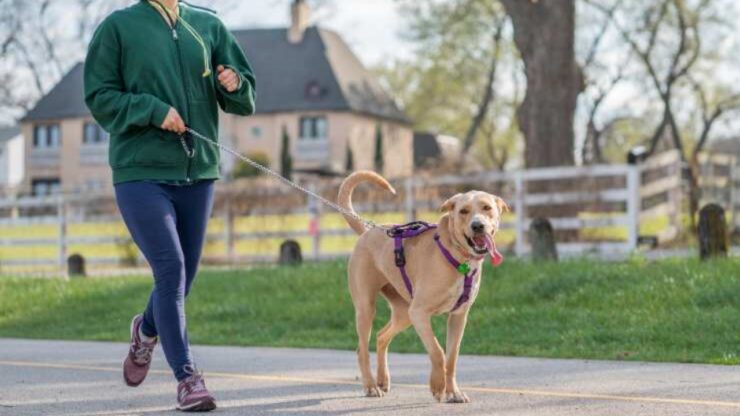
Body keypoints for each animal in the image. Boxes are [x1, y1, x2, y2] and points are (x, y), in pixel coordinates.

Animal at [336, 170, 506, 404]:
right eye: (463, 211)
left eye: (487, 207)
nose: (477, 225)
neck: (457, 256)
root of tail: (368, 230)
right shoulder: (419, 313)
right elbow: (438, 352)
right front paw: (437, 386)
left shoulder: (458, 317)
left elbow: (452, 357)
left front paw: (453, 391)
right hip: (367, 308)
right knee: (362, 349)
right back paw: (371, 386)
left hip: (403, 313)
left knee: (381, 336)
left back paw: (383, 379)